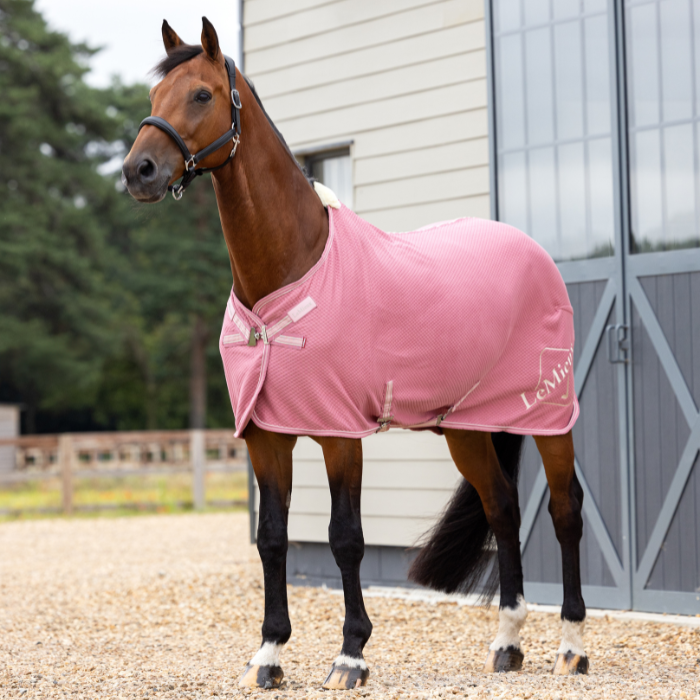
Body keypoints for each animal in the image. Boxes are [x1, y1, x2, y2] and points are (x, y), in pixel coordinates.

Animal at [122, 17, 589, 690]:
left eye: (202, 95)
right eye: (155, 97)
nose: (139, 172)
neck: (292, 266)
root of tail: (531, 251)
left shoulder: (340, 435)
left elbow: (346, 538)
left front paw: (350, 655)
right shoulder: (266, 436)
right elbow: (272, 538)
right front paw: (269, 654)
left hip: (550, 416)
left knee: (565, 510)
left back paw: (572, 647)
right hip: (467, 429)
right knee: (502, 508)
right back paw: (507, 644)